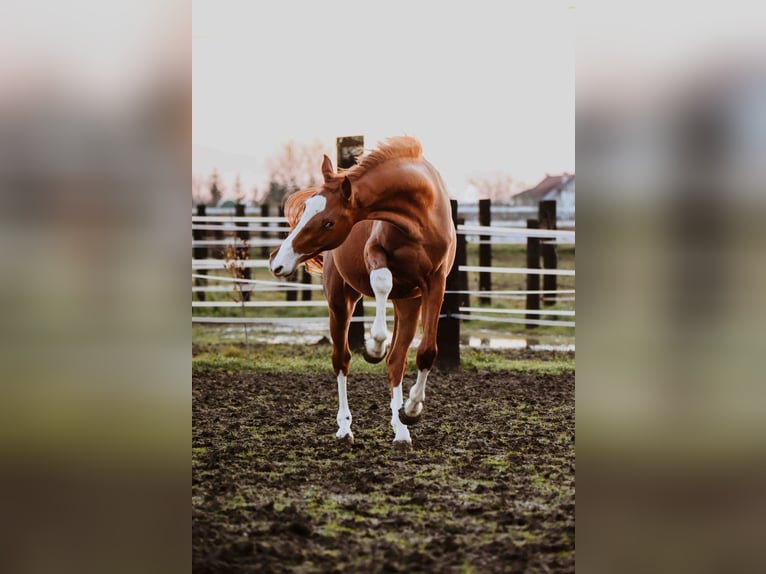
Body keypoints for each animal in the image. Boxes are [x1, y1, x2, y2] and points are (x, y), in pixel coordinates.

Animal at [272, 136, 456, 450]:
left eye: (328, 222)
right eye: (306, 208)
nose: (278, 262)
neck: (421, 214)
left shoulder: (435, 282)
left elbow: (427, 352)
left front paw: (412, 410)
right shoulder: (375, 254)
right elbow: (381, 281)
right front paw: (374, 345)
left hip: (409, 302)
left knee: (396, 363)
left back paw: (401, 431)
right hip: (340, 301)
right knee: (341, 360)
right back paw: (345, 428)